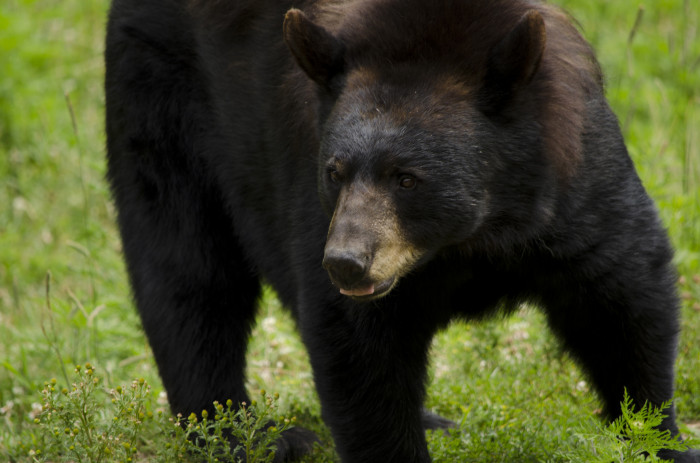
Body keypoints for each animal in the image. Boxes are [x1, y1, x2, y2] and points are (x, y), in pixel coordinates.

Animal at [104, 0, 699, 461]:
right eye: (335, 171)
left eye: (408, 178)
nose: (346, 262)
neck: (474, 237)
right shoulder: (313, 198)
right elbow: (358, 349)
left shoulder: (573, 190)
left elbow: (621, 296)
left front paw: (659, 439)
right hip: (164, 101)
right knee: (189, 275)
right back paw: (238, 436)